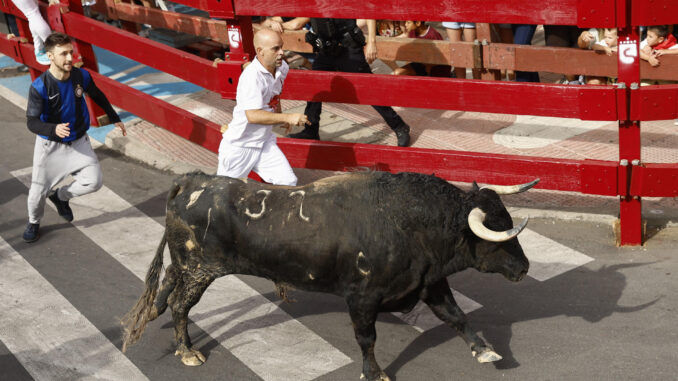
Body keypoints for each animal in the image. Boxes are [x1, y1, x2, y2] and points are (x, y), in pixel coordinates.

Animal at [121, 171, 536, 378]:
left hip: (189, 265)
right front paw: (374, 373)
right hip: (200, 270)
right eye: (499, 234)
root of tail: (192, 181)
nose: (524, 268)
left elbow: (457, 317)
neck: (411, 221)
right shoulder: (362, 297)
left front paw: (485, 351)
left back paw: (155, 313)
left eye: (508, 220)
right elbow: (366, 338)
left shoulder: (430, 283)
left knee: (168, 280)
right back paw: (186, 351)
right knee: (181, 303)